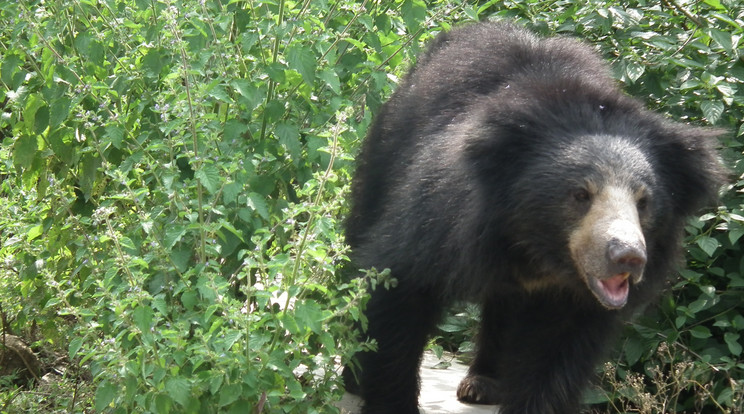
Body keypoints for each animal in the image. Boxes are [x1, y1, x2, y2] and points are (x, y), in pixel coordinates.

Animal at [344, 20, 728, 414]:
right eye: (580, 195)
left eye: (644, 202)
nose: (628, 257)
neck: (540, 249)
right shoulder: (442, 220)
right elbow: (396, 288)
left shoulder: (573, 303)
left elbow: (554, 359)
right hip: (385, 152)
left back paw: (483, 383)